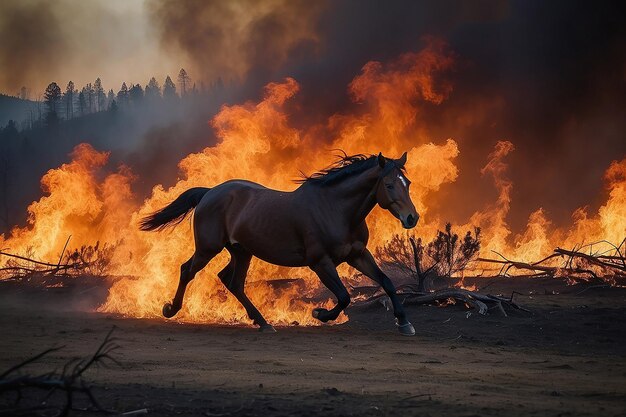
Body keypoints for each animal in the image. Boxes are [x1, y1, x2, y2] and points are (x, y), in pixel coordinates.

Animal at [139, 152, 416, 334]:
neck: (336, 209)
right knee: (188, 270)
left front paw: (404, 323)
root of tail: (209, 193)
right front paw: (320, 314)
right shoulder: (320, 263)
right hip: (208, 248)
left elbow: (386, 282)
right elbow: (344, 296)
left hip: (241, 251)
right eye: (389, 185)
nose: (412, 218)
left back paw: (263, 322)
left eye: (408, 183)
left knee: (232, 281)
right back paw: (170, 309)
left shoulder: (357, 255)